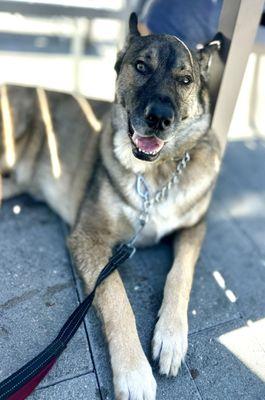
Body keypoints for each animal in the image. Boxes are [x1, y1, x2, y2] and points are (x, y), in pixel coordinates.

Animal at [1, 12, 222, 400]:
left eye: (185, 80)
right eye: (141, 66)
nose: (160, 118)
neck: (157, 174)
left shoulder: (195, 227)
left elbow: (182, 273)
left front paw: (171, 337)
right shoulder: (90, 239)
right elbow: (117, 297)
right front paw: (133, 372)